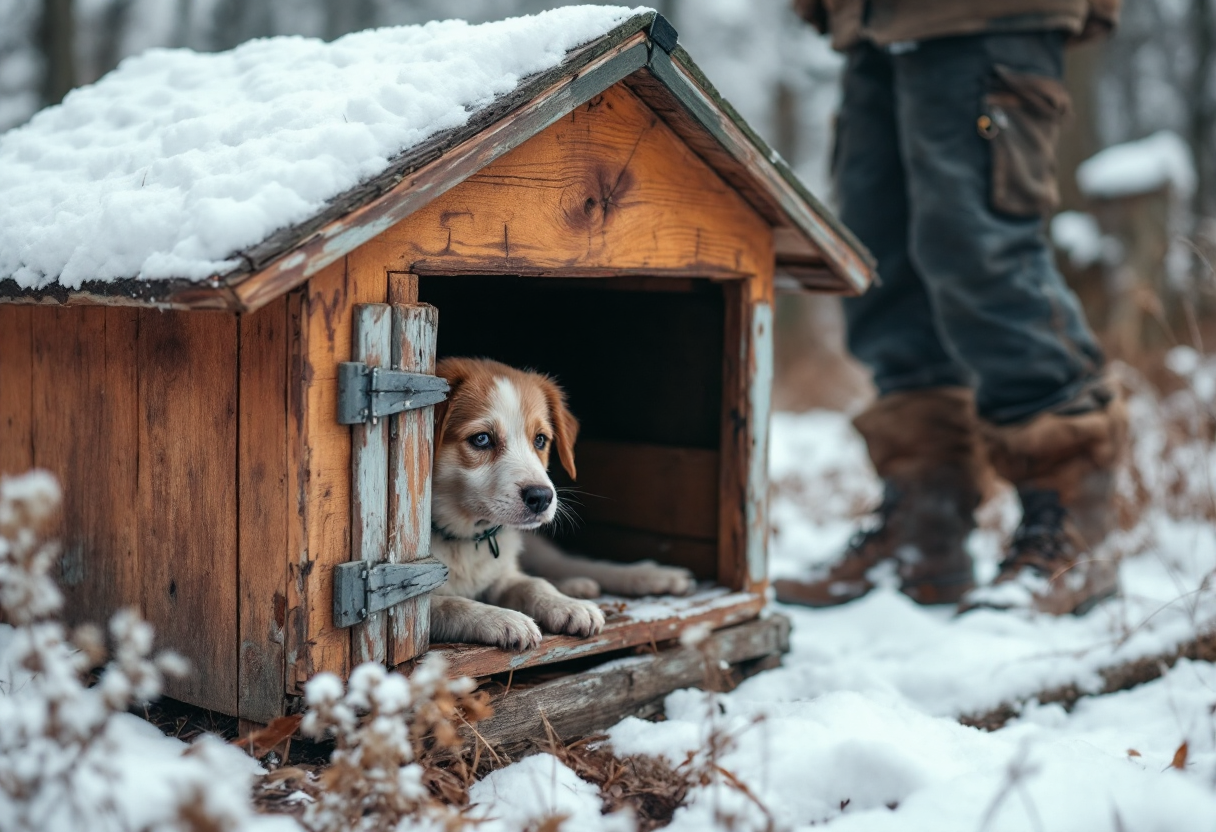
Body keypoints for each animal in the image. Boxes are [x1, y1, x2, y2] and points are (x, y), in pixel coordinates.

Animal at [428, 357, 695, 651]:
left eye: (540, 439)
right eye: (481, 439)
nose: (542, 497)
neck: (465, 539)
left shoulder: (505, 574)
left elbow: (533, 584)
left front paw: (564, 605)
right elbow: (448, 604)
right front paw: (503, 619)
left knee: (564, 563)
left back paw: (645, 577)